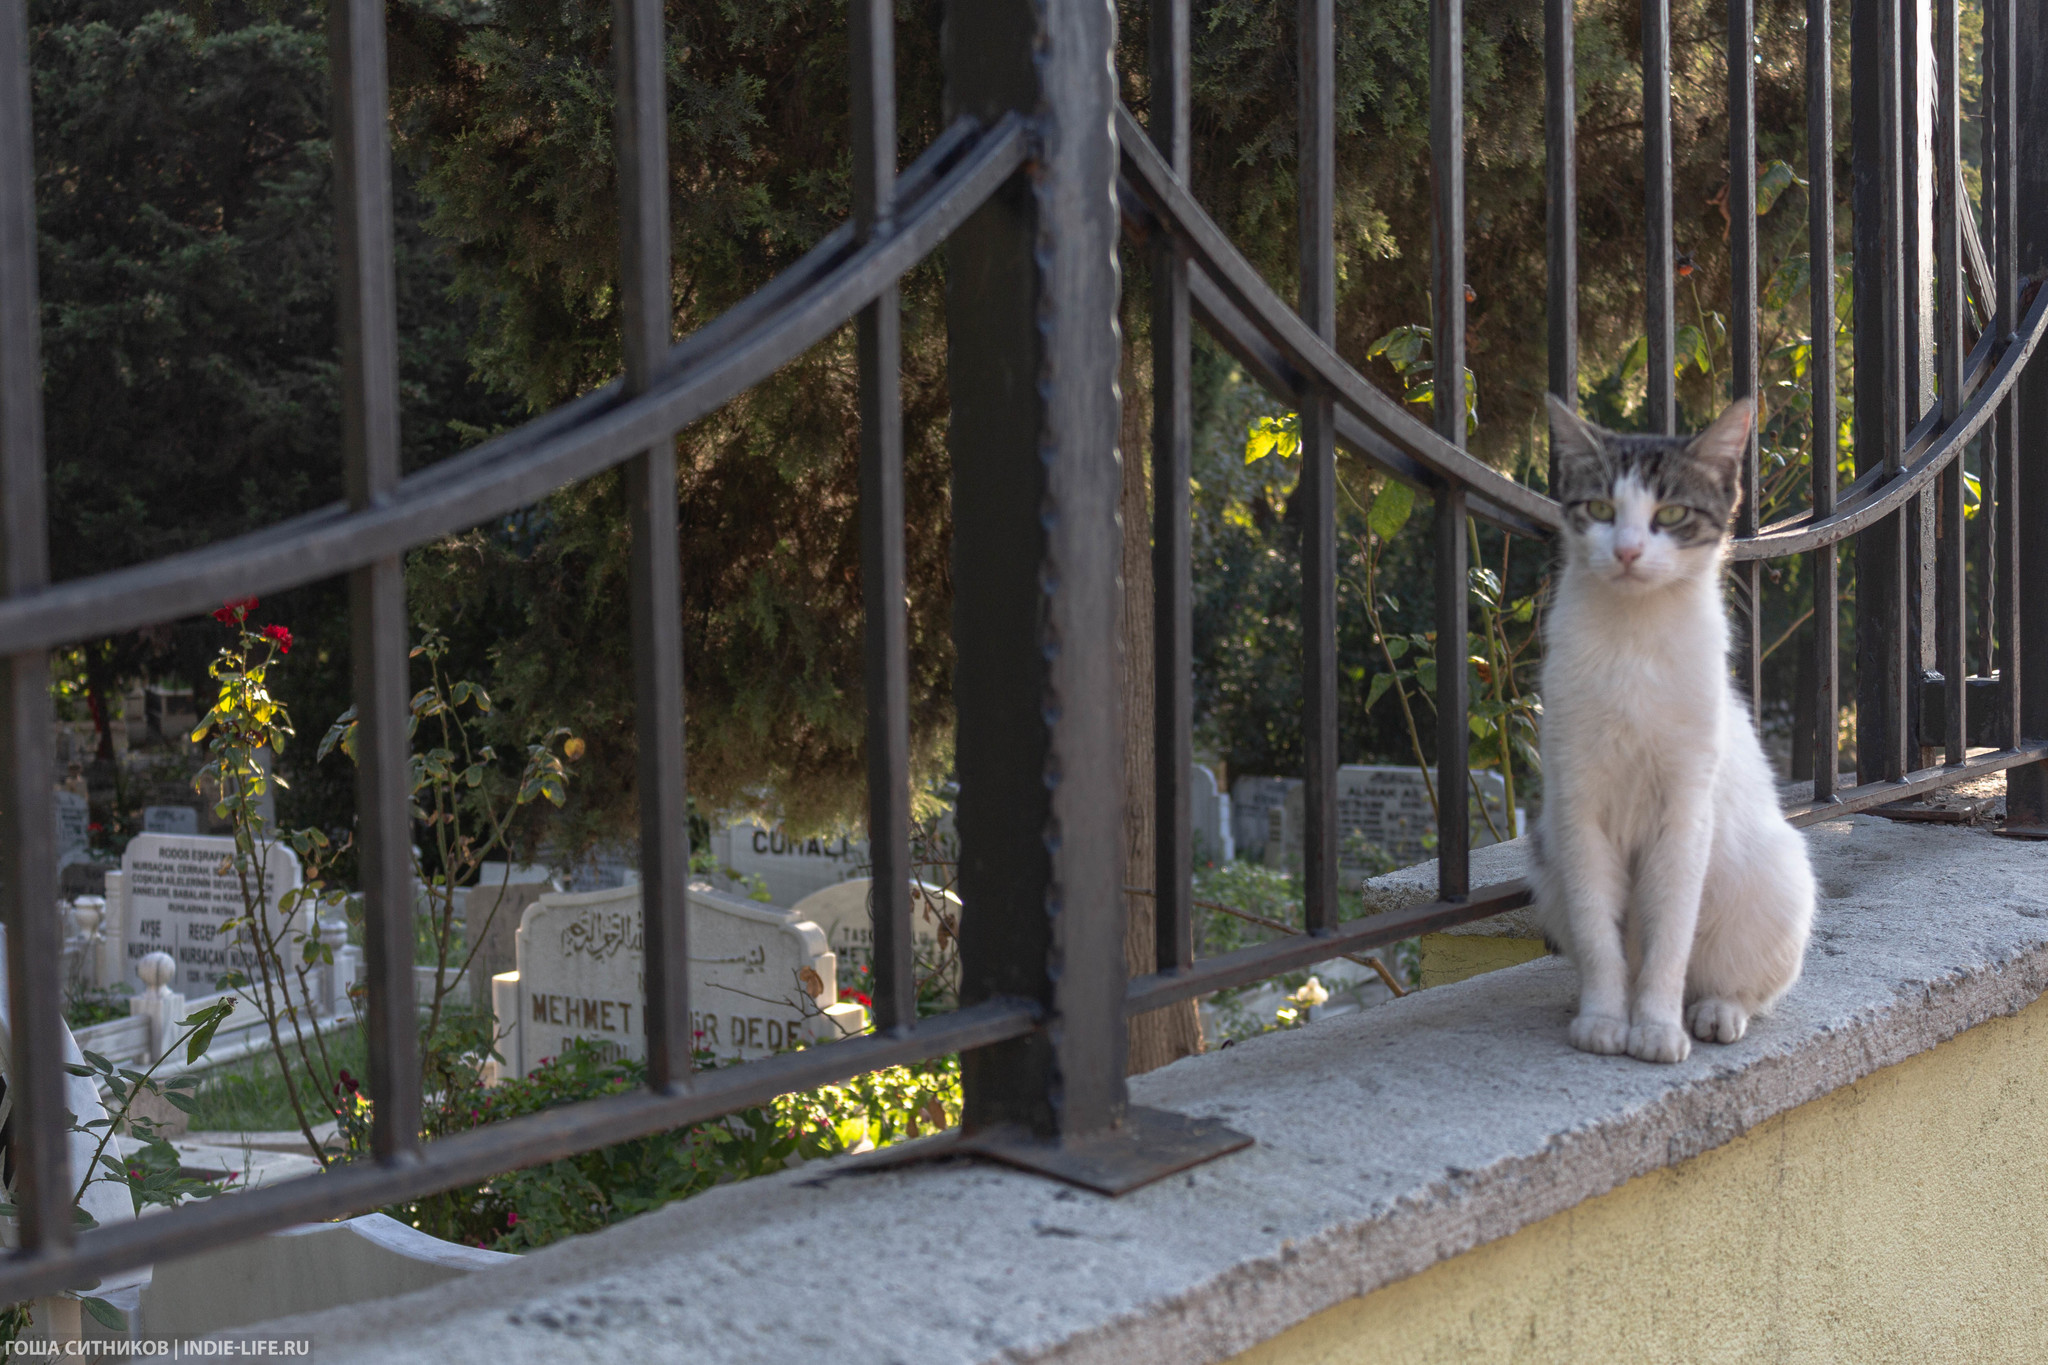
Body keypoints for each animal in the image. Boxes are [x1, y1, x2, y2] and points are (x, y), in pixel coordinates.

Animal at [1540, 394, 1810, 1064]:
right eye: (1601, 509)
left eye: (1672, 513)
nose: (1628, 551)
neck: (1634, 639)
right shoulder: (1577, 807)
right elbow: (1598, 933)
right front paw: (1604, 1018)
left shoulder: (1686, 811)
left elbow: (1670, 937)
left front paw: (1657, 1027)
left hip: (1779, 879)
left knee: (1737, 982)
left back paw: (1715, 1011)